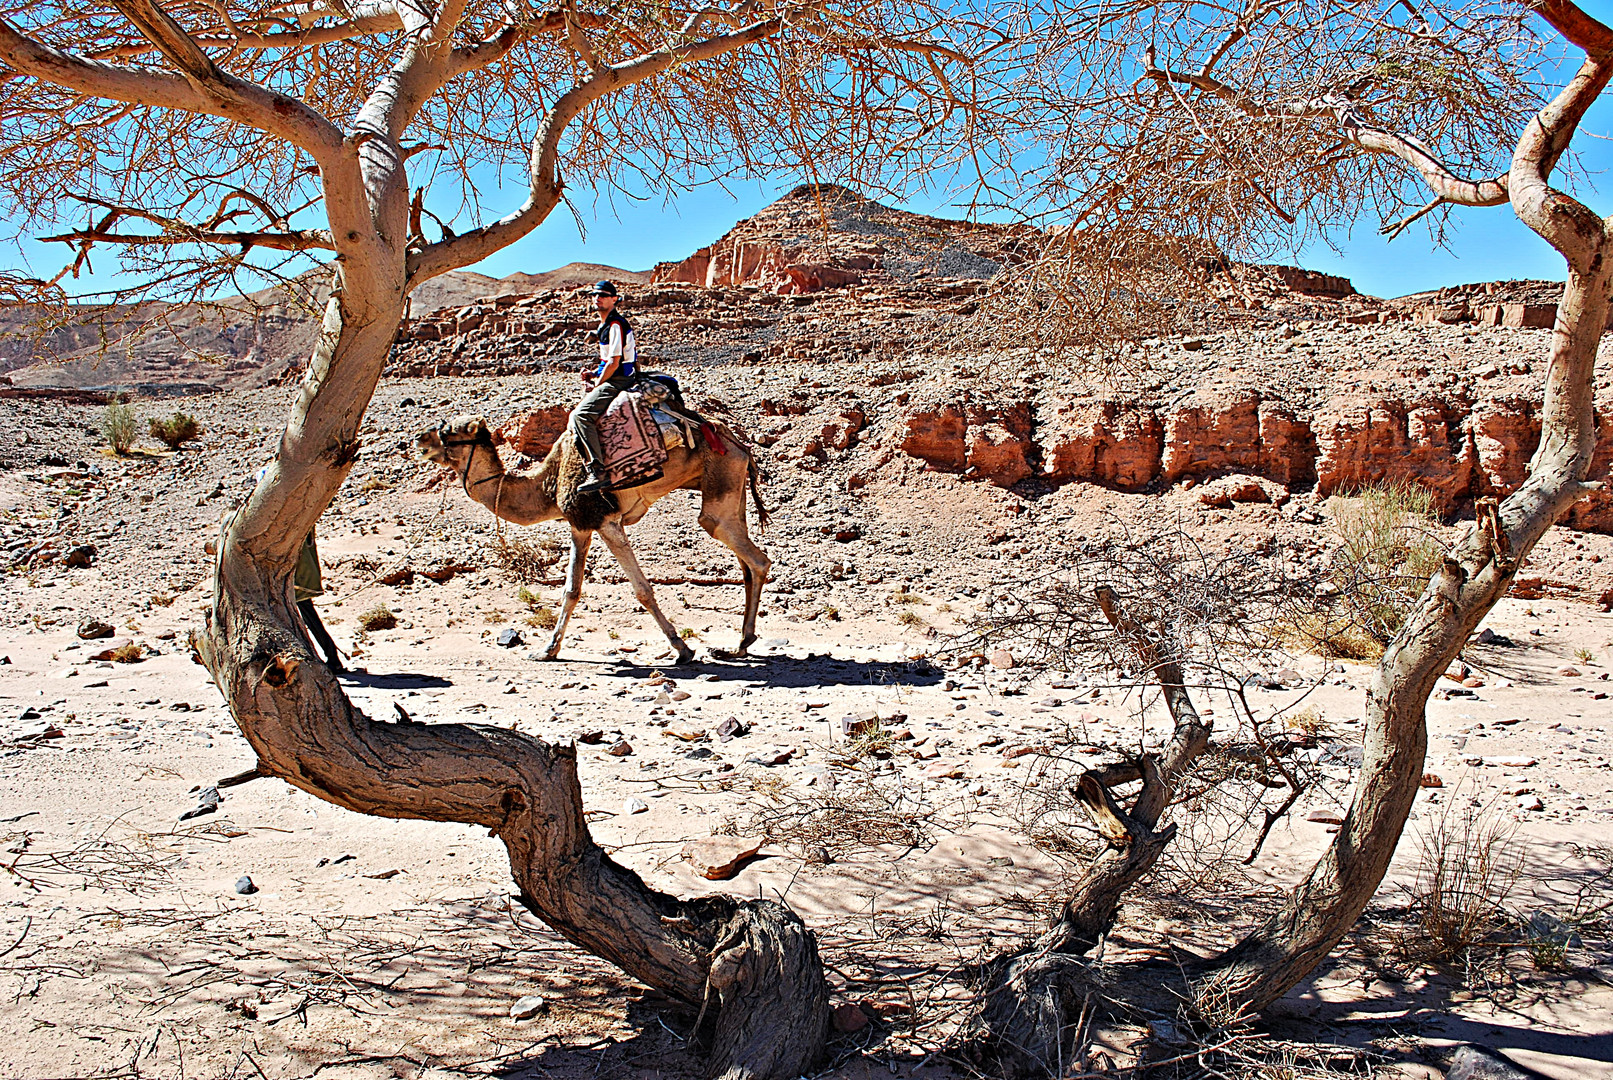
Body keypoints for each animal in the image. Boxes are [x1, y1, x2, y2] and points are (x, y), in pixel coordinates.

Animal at [412, 415, 771, 664]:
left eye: (448, 432)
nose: (418, 439)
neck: (547, 484)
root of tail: (740, 445)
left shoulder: (604, 519)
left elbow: (642, 590)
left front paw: (682, 649)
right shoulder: (579, 525)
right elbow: (571, 589)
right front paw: (547, 650)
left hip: (720, 486)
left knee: (755, 558)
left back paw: (741, 643)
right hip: (731, 488)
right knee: (745, 564)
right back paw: (739, 644)